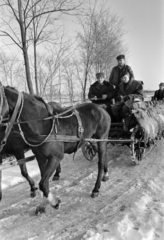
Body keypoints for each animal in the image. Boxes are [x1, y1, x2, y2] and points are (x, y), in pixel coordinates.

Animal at [0, 85, 111, 213]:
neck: (42, 124)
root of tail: (100, 107)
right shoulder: (40, 158)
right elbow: (44, 181)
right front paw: (43, 204)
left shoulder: (55, 157)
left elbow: (42, 183)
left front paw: (54, 202)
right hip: (92, 140)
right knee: (103, 155)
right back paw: (105, 174)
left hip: (102, 139)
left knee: (100, 162)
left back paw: (96, 188)